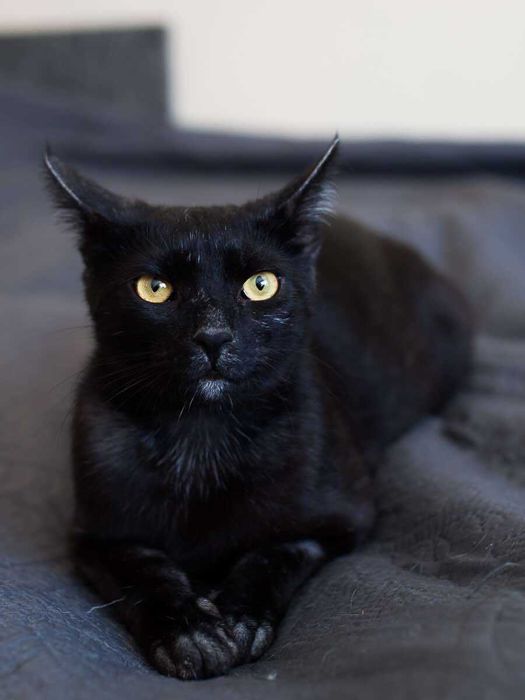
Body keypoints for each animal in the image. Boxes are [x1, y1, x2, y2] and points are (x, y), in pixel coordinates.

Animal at [45, 137, 472, 680]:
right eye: (153, 288)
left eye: (261, 284)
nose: (213, 336)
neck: (201, 434)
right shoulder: (93, 535)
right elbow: (143, 571)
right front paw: (190, 634)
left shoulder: (345, 516)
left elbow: (276, 552)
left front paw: (240, 620)